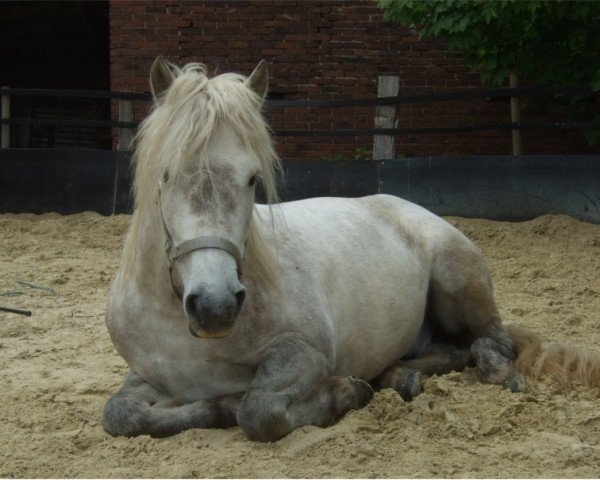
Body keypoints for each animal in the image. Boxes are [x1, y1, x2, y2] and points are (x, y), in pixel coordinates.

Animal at [103, 58, 600, 440]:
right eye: (165, 174)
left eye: (252, 179)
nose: (215, 305)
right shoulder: (144, 375)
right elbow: (119, 414)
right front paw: (213, 408)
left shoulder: (305, 355)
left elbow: (257, 410)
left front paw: (341, 394)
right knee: (447, 351)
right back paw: (400, 376)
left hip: (459, 277)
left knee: (492, 342)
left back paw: (494, 373)